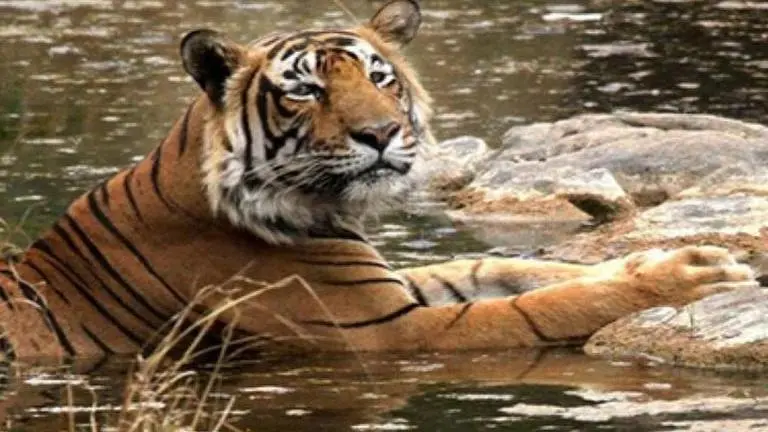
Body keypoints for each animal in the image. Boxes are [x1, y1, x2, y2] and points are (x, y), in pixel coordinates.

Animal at [0, 0, 756, 360]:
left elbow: (505, 266)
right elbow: (541, 306)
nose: (382, 133)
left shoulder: (389, 286)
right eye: (304, 90)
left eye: (379, 76)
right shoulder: (385, 332)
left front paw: (674, 257)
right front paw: (686, 279)